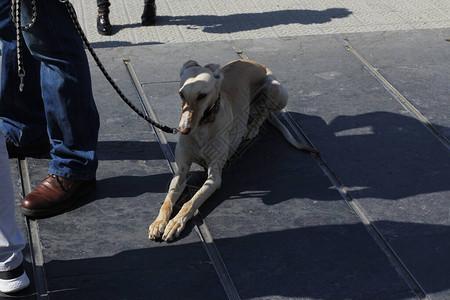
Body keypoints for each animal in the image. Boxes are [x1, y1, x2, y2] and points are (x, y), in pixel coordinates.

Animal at [148, 59, 316, 241]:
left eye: (202, 95)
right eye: (181, 94)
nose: (183, 129)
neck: (203, 126)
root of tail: (256, 63)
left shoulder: (214, 177)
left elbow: (191, 201)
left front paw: (176, 223)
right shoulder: (181, 171)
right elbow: (168, 200)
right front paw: (159, 222)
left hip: (276, 90)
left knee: (265, 112)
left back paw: (252, 128)